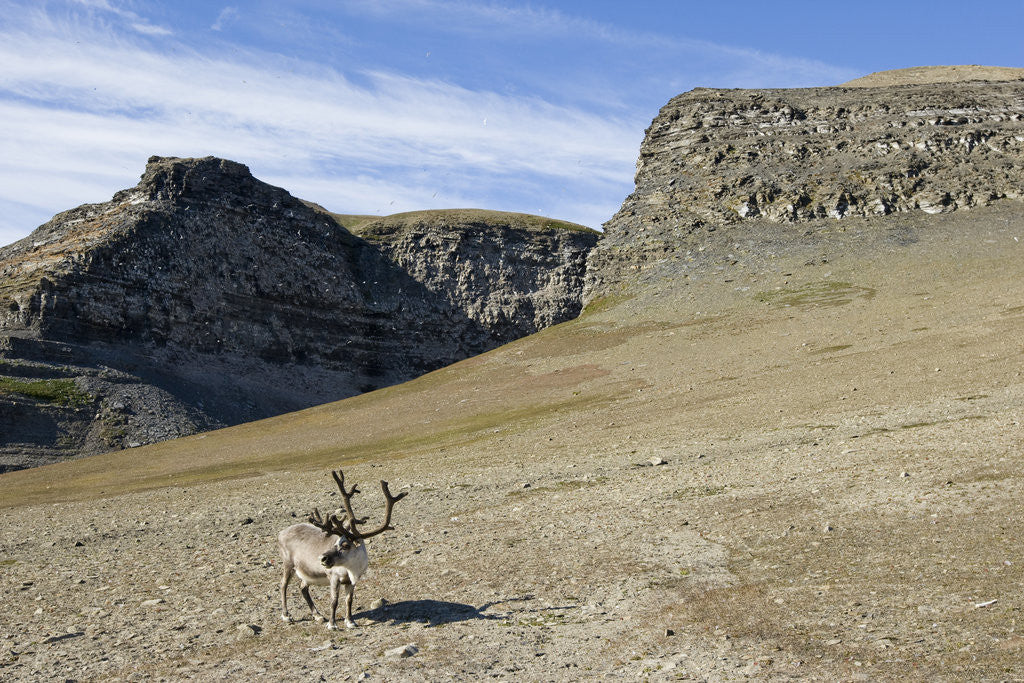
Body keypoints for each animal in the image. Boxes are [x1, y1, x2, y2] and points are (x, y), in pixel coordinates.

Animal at [278, 468, 407, 629]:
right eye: (336, 542)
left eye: (345, 545)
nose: (322, 558)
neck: (351, 568)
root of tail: (281, 533)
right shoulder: (333, 577)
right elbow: (334, 601)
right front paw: (332, 624)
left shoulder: (352, 581)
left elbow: (349, 600)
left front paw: (350, 621)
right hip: (288, 564)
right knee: (283, 585)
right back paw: (286, 615)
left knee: (302, 587)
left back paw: (317, 615)